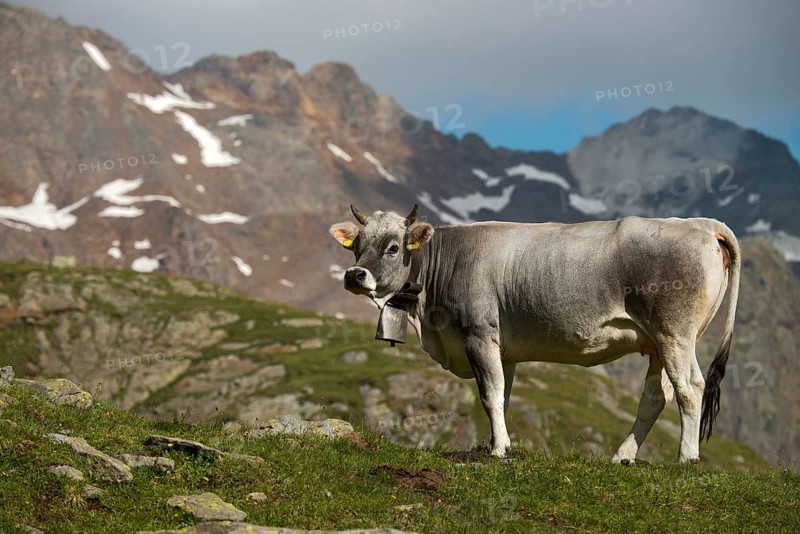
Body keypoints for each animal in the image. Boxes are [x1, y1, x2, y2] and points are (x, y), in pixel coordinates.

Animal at [329, 204, 740, 463]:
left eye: (393, 247)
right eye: (356, 247)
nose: (354, 275)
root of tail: (703, 224)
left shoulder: (479, 335)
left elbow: (489, 395)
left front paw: (497, 451)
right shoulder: (504, 350)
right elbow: (503, 398)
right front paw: (497, 443)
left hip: (675, 334)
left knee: (690, 389)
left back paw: (686, 458)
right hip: (656, 343)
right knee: (655, 398)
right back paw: (623, 456)